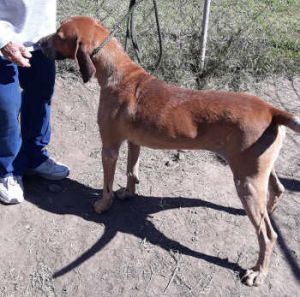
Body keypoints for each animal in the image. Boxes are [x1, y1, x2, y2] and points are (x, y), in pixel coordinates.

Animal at [39, 16, 298, 286]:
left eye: (59, 35)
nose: (37, 44)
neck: (119, 73)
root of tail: (271, 110)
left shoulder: (109, 148)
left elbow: (107, 184)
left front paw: (103, 205)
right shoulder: (134, 142)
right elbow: (131, 172)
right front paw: (128, 194)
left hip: (245, 182)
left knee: (268, 235)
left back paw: (259, 272)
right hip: (258, 173)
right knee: (278, 190)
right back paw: (269, 210)